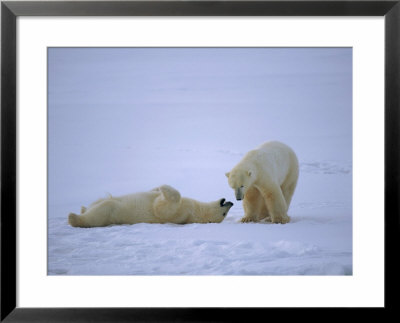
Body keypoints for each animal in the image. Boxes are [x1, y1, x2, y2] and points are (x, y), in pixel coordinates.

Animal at [67, 185, 233, 228]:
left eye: (223, 215)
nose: (230, 202)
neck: (196, 211)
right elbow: (154, 195)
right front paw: (158, 188)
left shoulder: (183, 212)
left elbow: (162, 209)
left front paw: (165, 187)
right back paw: (82, 208)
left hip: (111, 212)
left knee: (100, 212)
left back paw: (73, 217)